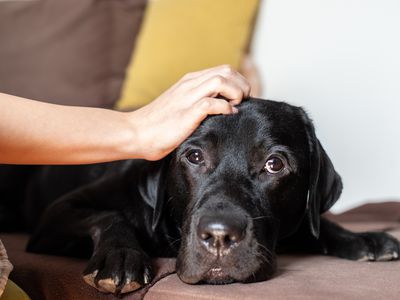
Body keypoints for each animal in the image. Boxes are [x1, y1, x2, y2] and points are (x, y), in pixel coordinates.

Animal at [0, 99, 398, 296]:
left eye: (275, 164)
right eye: (193, 156)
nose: (219, 236)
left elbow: (313, 224)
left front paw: (364, 238)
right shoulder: (59, 212)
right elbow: (109, 216)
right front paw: (120, 259)